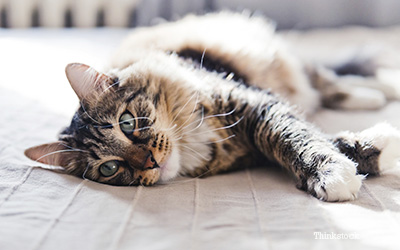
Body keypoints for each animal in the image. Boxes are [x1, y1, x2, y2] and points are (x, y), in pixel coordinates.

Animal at [23, 12, 400, 202]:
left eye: (127, 123)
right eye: (109, 168)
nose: (150, 161)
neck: (192, 143)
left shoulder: (256, 105)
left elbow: (296, 136)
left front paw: (332, 171)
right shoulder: (254, 144)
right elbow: (320, 138)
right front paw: (368, 153)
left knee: (328, 80)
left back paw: (380, 90)